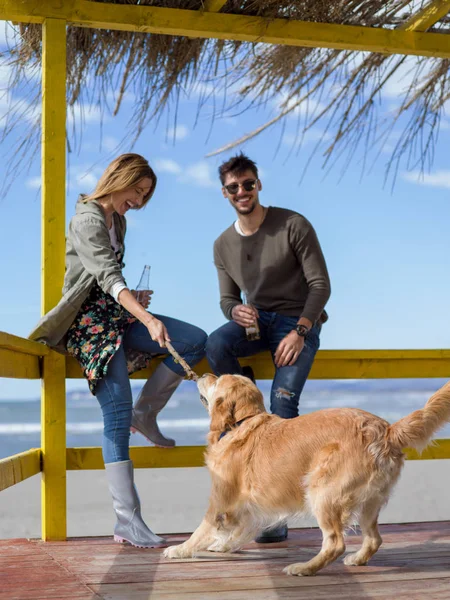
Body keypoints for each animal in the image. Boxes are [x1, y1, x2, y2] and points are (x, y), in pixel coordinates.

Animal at [163, 376, 450, 576]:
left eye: (217, 380)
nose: (202, 374)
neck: (242, 423)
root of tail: (386, 430)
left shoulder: (221, 500)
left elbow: (202, 529)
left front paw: (180, 549)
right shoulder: (252, 503)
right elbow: (243, 528)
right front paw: (224, 546)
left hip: (321, 492)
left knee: (335, 543)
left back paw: (304, 568)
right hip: (370, 501)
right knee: (373, 539)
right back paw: (357, 559)